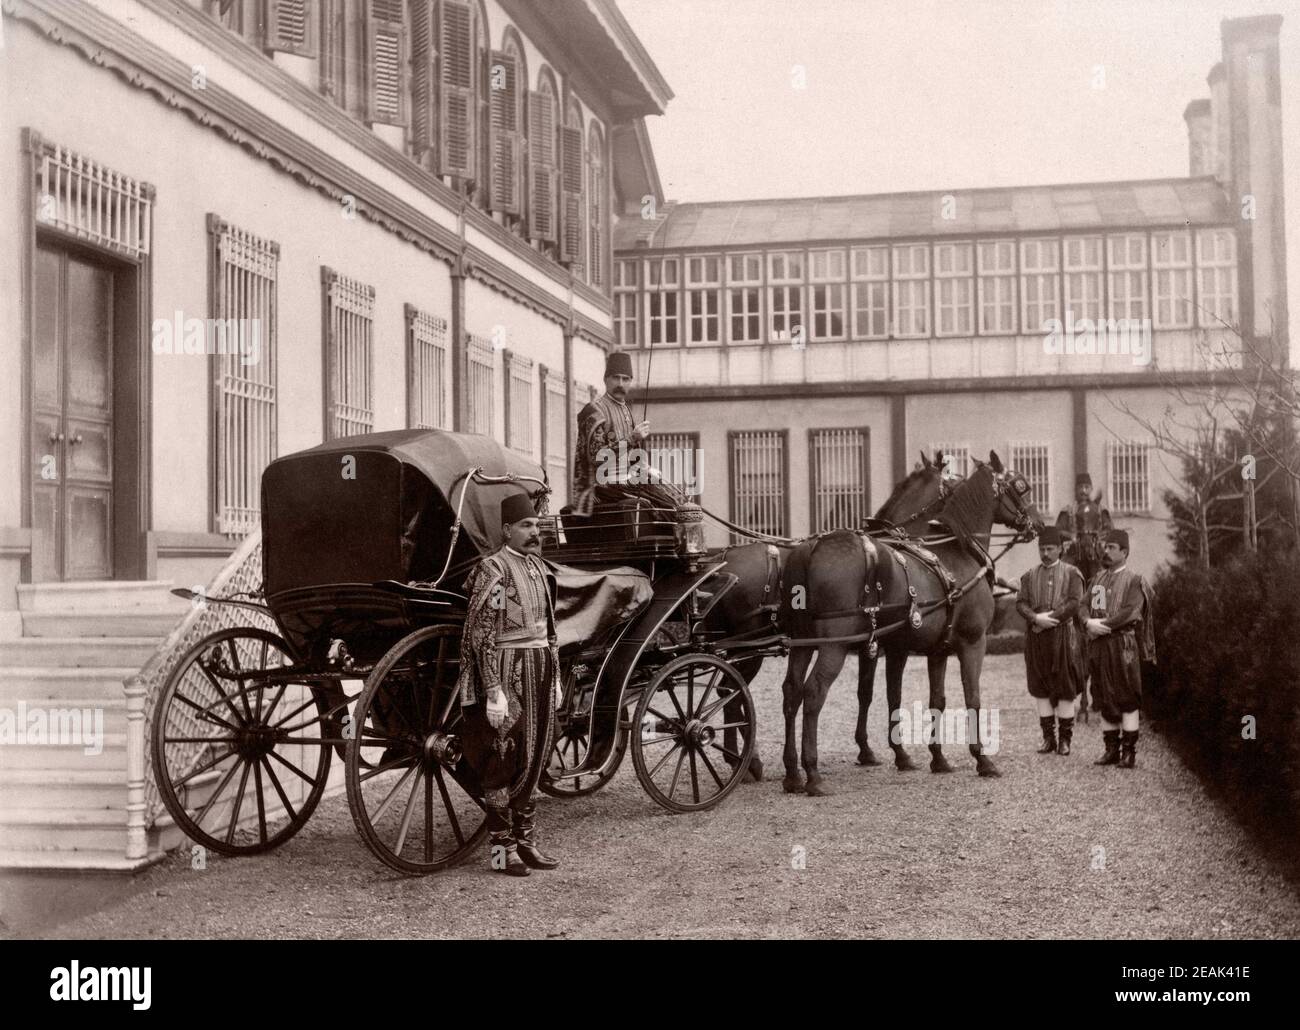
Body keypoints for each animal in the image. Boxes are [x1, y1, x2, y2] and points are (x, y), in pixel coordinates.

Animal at [774, 452, 1040, 795]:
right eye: (1021, 487)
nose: (1038, 524)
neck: (954, 551)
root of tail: (813, 547)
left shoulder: (930, 650)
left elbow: (930, 699)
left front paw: (934, 757)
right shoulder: (972, 642)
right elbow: (972, 697)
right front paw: (982, 759)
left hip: (802, 642)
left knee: (792, 691)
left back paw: (792, 772)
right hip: (833, 646)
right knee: (813, 693)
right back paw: (812, 773)